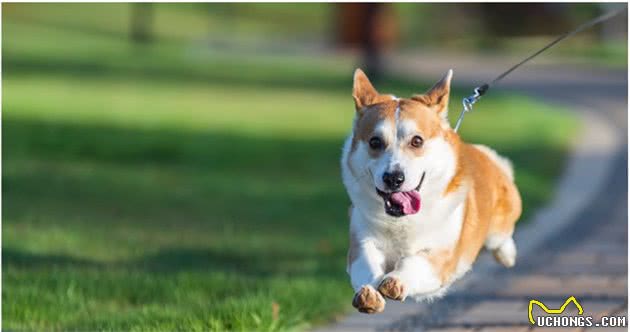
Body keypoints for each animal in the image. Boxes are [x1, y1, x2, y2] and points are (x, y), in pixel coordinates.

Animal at [340, 68, 524, 312]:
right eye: (375, 142)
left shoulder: (440, 256)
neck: (402, 221)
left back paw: (507, 255)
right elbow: (367, 265)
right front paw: (368, 294)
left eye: (417, 141)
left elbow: (414, 262)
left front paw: (395, 281)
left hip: (498, 228)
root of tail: (486, 156)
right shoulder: (362, 242)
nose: (393, 178)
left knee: (502, 237)